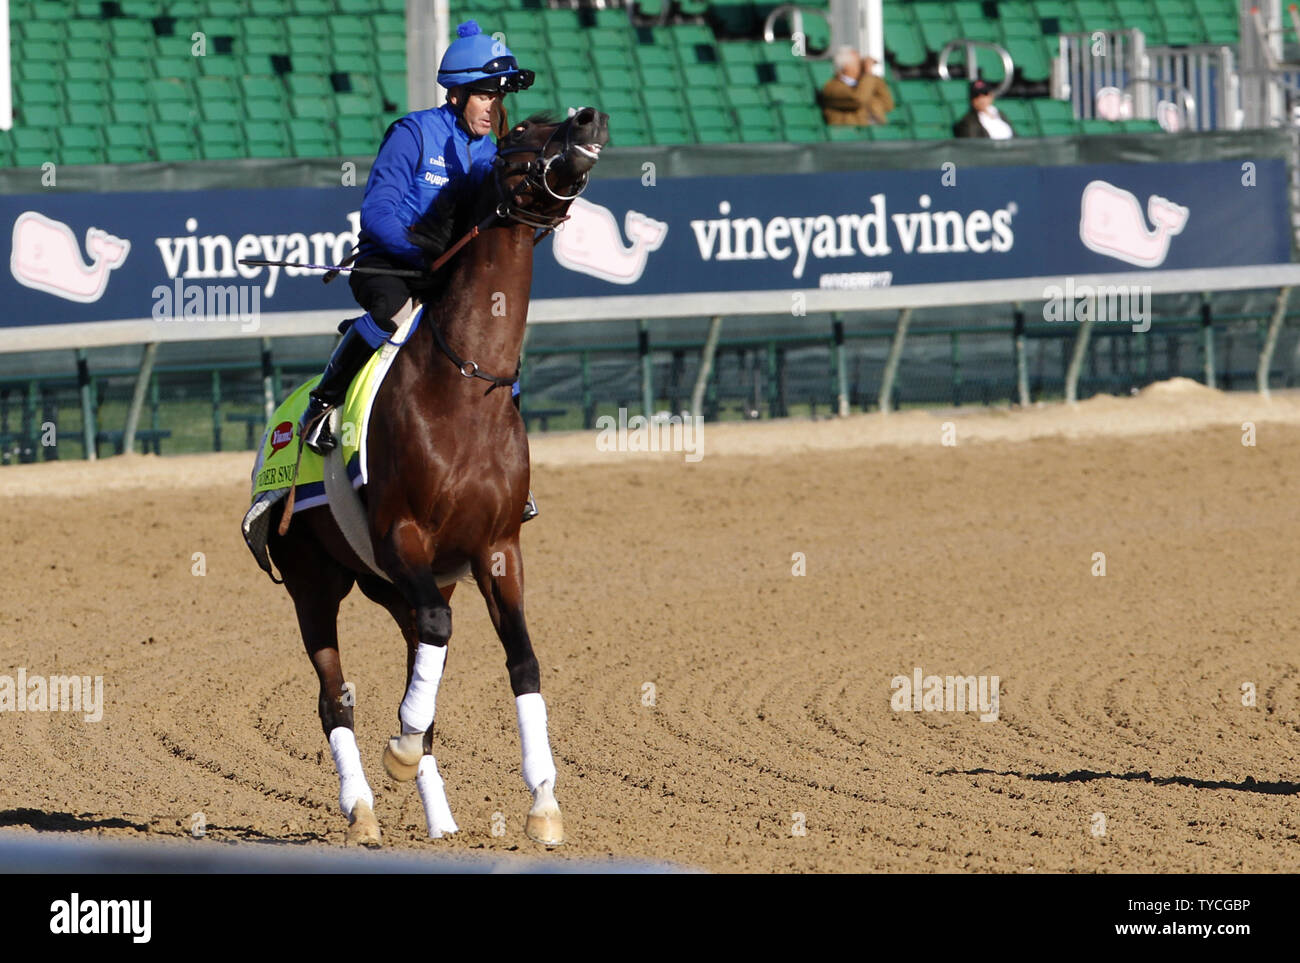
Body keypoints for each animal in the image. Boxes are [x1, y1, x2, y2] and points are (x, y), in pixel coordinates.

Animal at [266, 107, 611, 847]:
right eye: (519, 136)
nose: (590, 117)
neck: (465, 389)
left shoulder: (498, 548)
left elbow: (521, 661)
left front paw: (544, 801)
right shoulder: (401, 535)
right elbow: (429, 650)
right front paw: (396, 750)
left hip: (398, 585)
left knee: (423, 651)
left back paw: (441, 818)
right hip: (313, 584)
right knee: (334, 698)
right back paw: (362, 808)